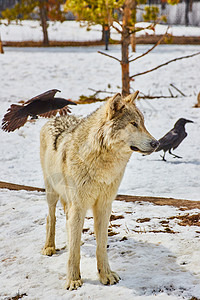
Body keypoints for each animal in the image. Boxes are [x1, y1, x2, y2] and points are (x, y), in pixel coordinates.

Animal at [40, 92, 159, 290]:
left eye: (143, 123)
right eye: (133, 124)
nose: (156, 143)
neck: (102, 165)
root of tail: (57, 117)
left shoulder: (104, 205)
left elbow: (101, 246)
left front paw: (106, 275)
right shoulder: (78, 206)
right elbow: (74, 253)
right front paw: (73, 280)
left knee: (68, 224)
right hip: (52, 192)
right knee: (51, 217)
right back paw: (49, 246)